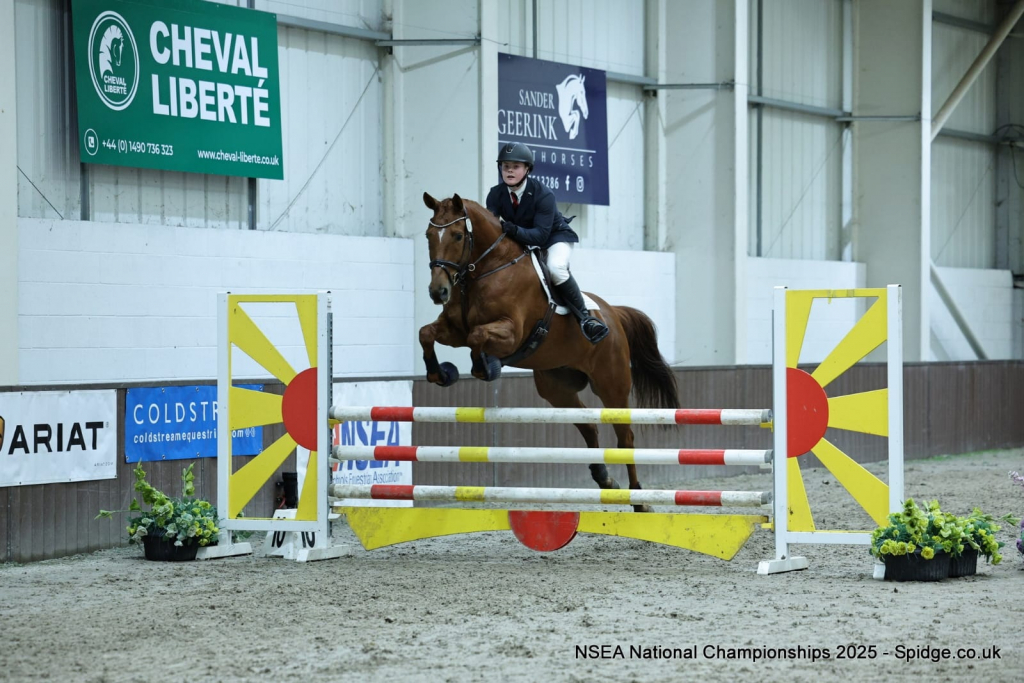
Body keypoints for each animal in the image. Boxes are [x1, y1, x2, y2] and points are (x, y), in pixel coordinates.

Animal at [420, 192, 680, 511]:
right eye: (429, 235)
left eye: (457, 235)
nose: (438, 292)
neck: (485, 269)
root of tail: (612, 314)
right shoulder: (453, 330)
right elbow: (427, 333)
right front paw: (441, 374)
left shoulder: (511, 333)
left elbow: (477, 335)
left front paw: (486, 367)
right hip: (556, 388)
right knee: (588, 426)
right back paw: (604, 479)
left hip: (612, 384)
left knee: (625, 436)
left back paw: (639, 501)